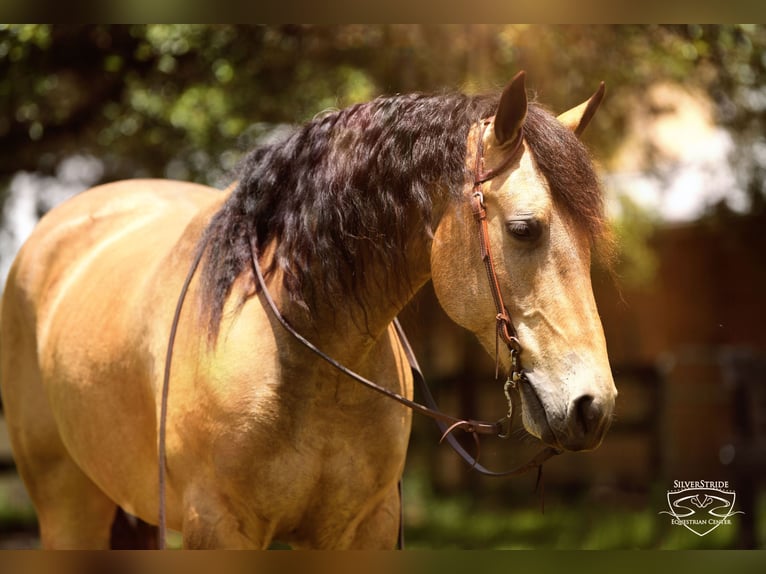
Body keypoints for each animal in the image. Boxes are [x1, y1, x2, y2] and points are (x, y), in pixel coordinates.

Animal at [0, 71, 617, 549]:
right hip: (68, 506)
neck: (305, 351)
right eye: (524, 229)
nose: (594, 407)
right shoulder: (219, 528)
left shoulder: (362, 529)